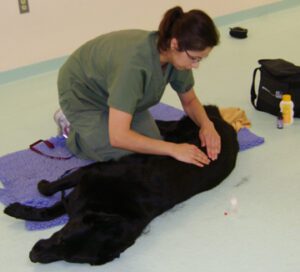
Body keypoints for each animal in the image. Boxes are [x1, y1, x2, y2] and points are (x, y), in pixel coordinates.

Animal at [4, 105, 239, 264]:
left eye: (68, 258)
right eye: (60, 237)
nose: (33, 256)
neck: (113, 210)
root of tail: (225, 125)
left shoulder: (82, 188)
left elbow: (53, 205)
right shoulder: (88, 175)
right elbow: (50, 201)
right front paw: (29, 200)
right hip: (179, 129)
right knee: (163, 126)